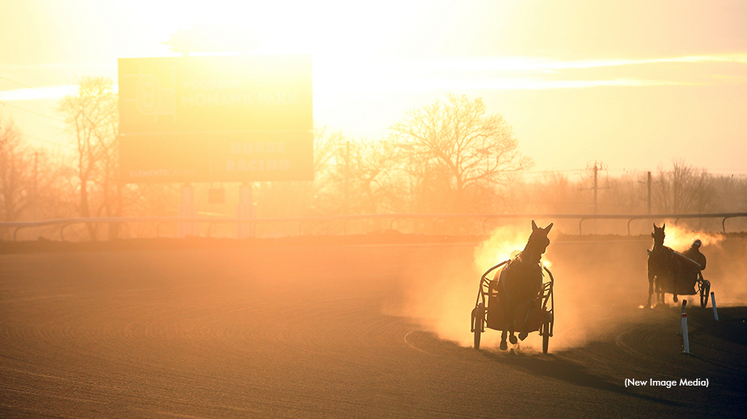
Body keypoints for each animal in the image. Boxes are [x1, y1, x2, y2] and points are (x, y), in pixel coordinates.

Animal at [496, 220, 556, 352]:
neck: (525, 270)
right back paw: (505, 340)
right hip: (504, 296)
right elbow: (509, 317)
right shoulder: (510, 296)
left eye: (546, 240)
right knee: (507, 315)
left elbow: (530, 309)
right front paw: (510, 338)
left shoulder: (532, 294)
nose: (536, 257)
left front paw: (523, 333)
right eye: (532, 237)